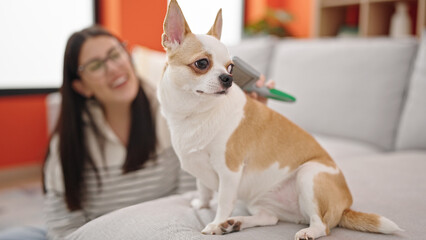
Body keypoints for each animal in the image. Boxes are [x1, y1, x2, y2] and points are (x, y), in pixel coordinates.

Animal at [157, 0, 402, 239]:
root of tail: (345, 208)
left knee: (322, 225)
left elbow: (224, 202)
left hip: (309, 175)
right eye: (202, 64)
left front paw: (216, 222)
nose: (228, 78)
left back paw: (304, 231)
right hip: (260, 200)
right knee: (270, 218)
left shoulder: (229, 172)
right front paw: (202, 204)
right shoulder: (203, 168)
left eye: (231, 67)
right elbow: (204, 188)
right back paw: (235, 223)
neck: (195, 114)